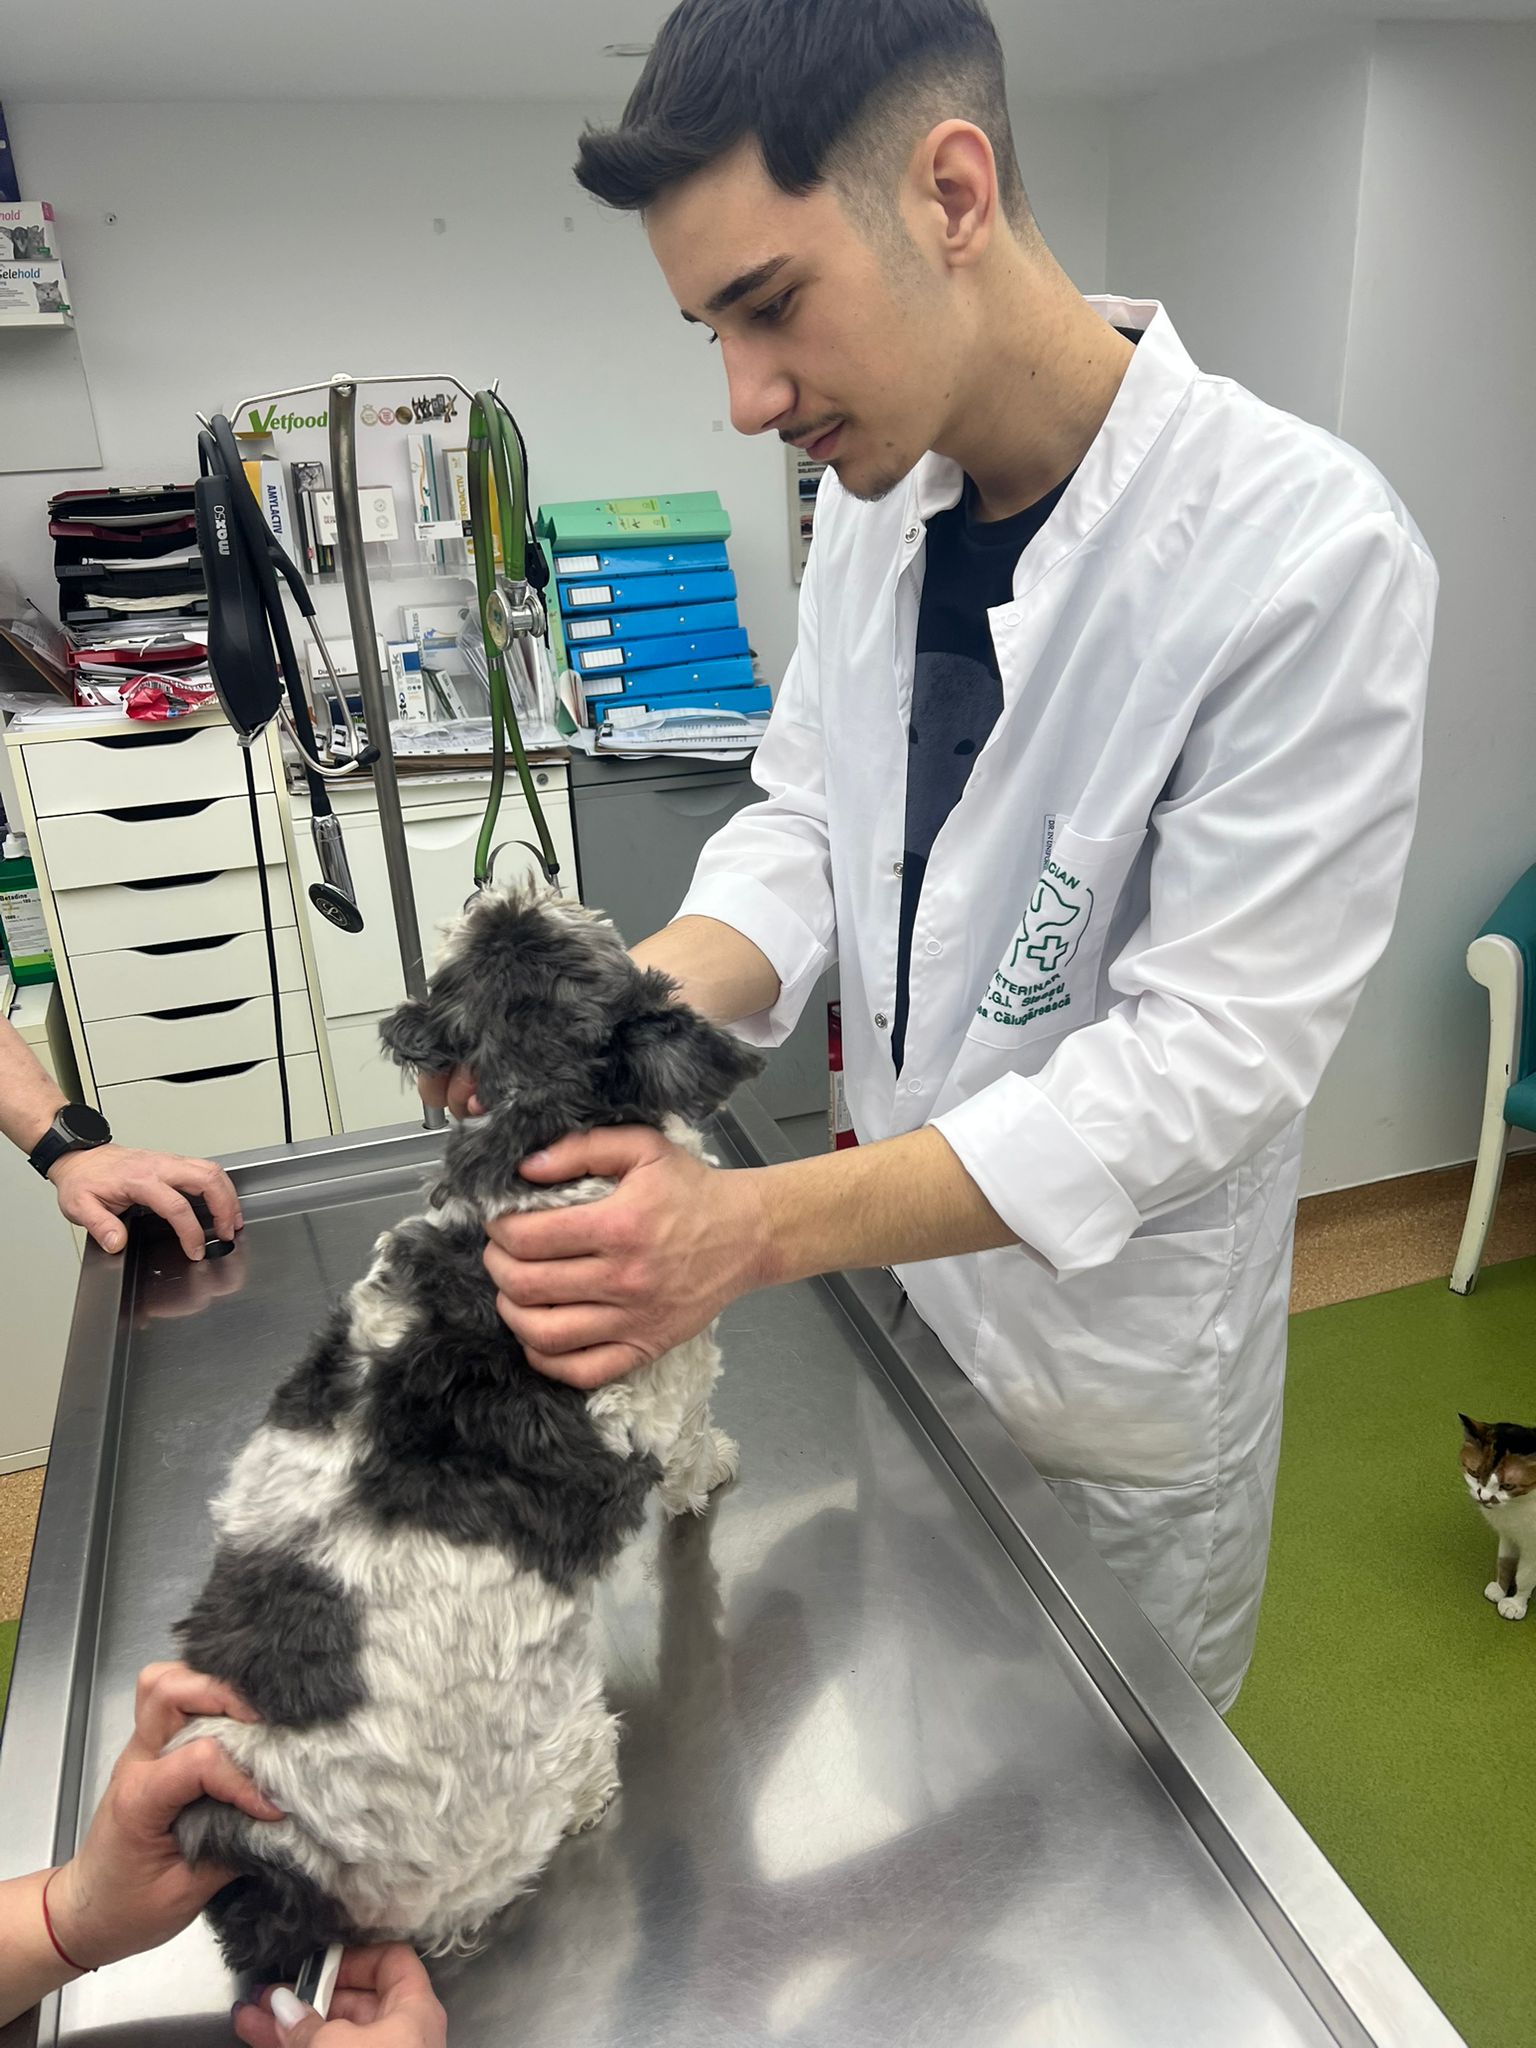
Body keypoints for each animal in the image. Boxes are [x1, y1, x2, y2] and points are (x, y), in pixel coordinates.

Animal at [170, 883, 764, 1978]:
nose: (506, 881)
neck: (534, 1112)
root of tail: (280, 1864)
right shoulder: (677, 1346)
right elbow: (691, 1442)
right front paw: (710, 1471)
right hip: (506, 1800)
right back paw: (588, 1785)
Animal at [1458, 1413, 1536, 1620]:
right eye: (1474, 1473)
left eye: (1508, 1485)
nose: (1483, 1497)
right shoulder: (1509, 1534)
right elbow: (1505, 1561)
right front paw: (1500, 1589)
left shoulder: (1533, 1547)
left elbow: (1525, 1576)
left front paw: (1516, 1604)